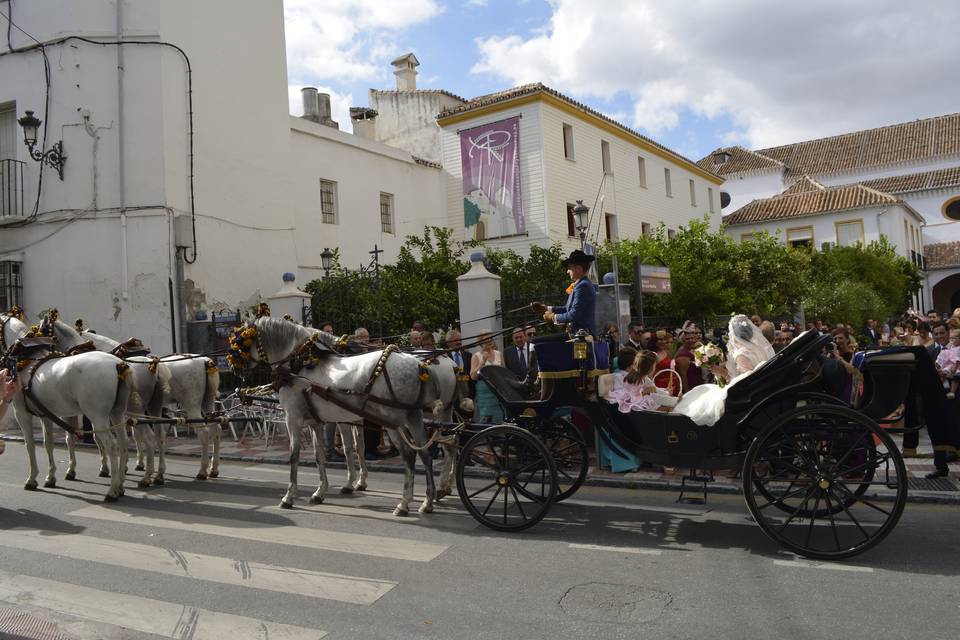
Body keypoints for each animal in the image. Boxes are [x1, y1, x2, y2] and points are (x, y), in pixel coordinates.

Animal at [8, 336, 133, 500]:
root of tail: (118, 364)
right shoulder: (46, 415)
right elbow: (48, 444)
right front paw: (50, 478)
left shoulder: (21, 413)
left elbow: (30, 445)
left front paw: (32, 479)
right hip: (117, 413)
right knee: (123, 442)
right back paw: (121, 486)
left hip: (98, 416)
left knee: (111, 445)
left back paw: (112, 490)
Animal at [41, 312, 172, 488]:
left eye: (41, 330)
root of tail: (153, 364)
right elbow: (102, 438)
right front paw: (115, 467)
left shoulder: (86, 412)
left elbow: (80, 438)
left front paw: (76, 470)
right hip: (152, 408)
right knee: (158, 435)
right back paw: (157, 473)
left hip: (137, 410)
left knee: (148, 437)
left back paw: (147, 476)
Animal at [234, 318, 436, 516]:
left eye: (242, 340)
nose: (235, 366)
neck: (297, 367)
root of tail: (416, 364)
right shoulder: (315, 422)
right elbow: (320, 455)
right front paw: (320, 492)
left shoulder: (293, 419)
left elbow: (294, 455)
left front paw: (289, 497)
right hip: (413, 416)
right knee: (425, 453)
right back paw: (428, 501)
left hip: (392, 422)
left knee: (409, 455)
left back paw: (404, 503)